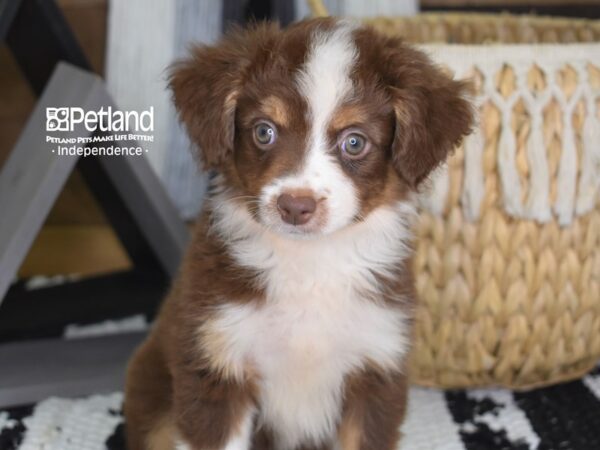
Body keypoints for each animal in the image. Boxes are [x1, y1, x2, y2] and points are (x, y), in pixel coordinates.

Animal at [124, 16, 474, 450]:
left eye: (354, 142)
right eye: (264, 132)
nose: (295, 205)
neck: (311, 265)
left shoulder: (375, 366)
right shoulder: (216, 363)